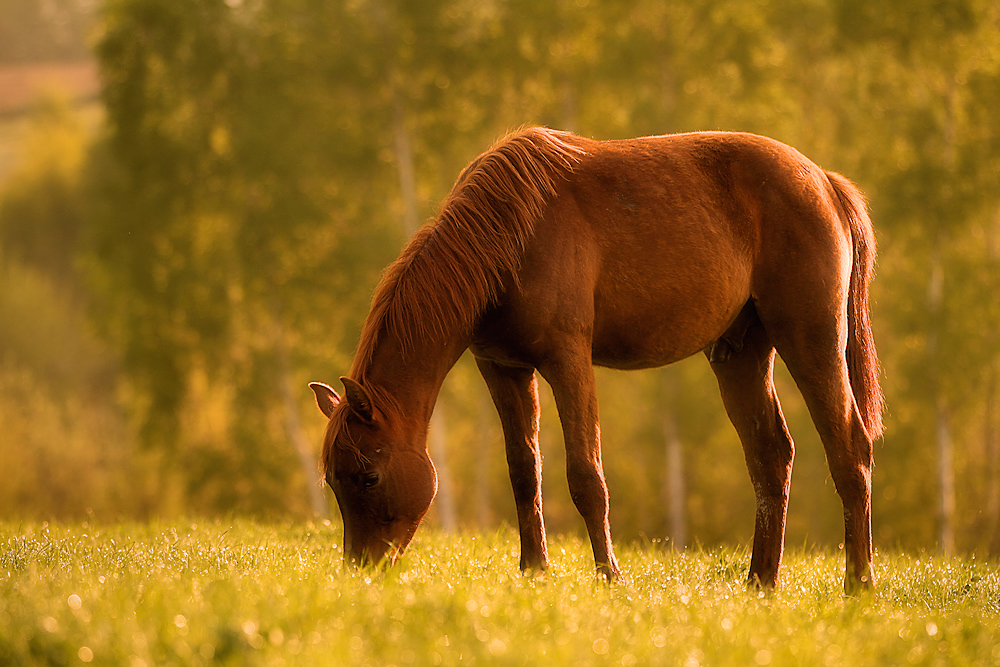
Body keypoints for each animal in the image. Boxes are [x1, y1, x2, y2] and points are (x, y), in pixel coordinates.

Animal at [310, 126, 884, 596]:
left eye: (368, 477)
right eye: (333, 481)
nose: (361, 570)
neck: (513, 235)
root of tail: (824, 182)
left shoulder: (568, 361)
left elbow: (586, 475)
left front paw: (609, 576)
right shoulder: (503, 368)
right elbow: (524, 472)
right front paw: (534, 571)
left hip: (811, 338)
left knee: (849, 449)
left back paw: (858, 583)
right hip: (741, 353)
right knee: (771, 457)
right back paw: (761, 581)